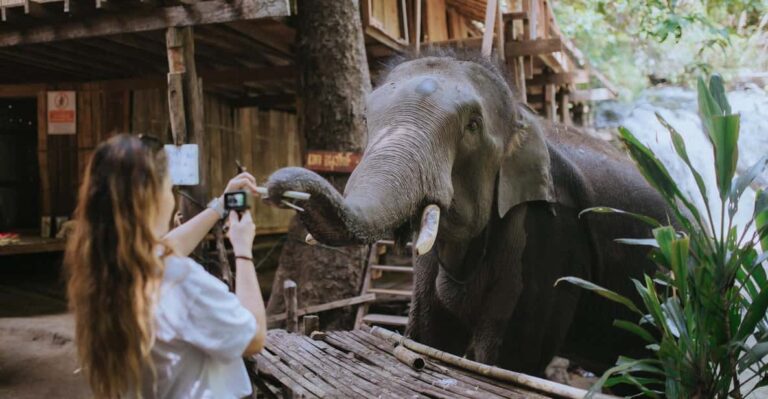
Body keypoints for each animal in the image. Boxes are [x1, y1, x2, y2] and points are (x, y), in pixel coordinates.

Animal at [266, 54, 672, 378]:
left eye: (472, 126)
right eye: (366, 119)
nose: (279, 185)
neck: (523, 117)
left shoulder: (550, 237)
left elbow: (506, 359)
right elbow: (428, 338)